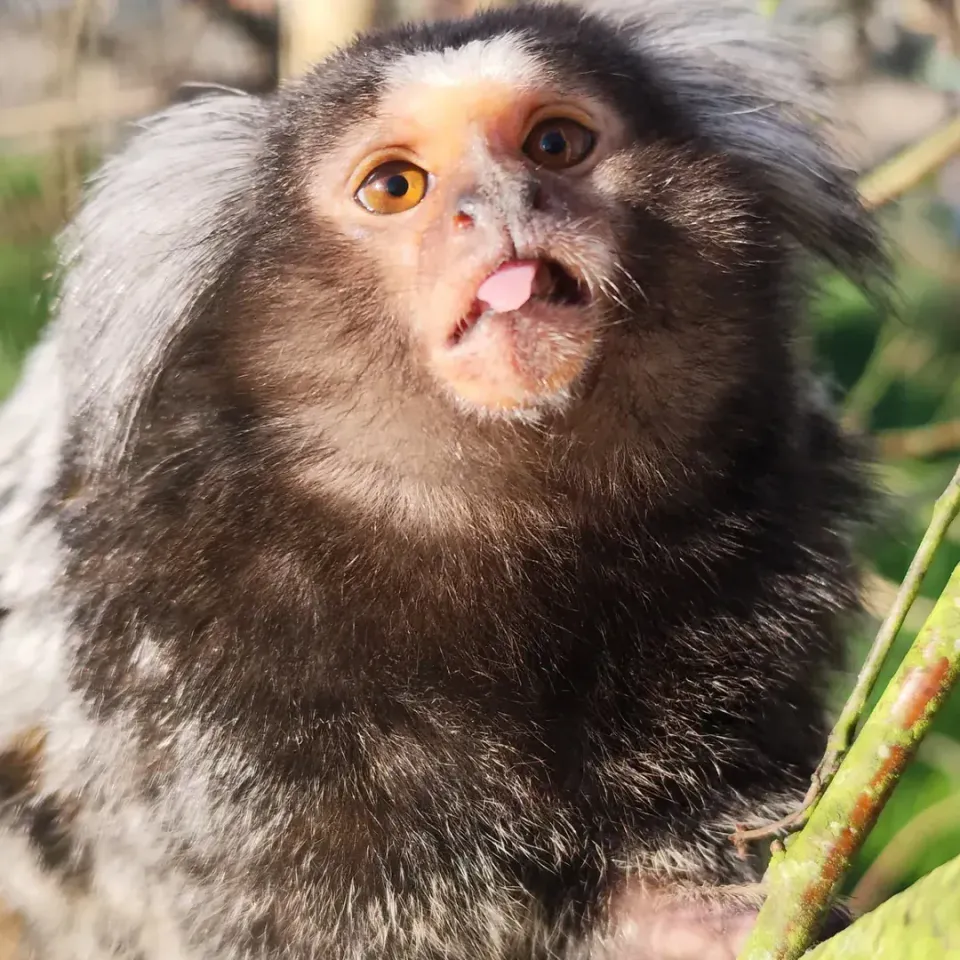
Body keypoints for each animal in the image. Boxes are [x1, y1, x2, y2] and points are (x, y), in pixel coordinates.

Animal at [0, 1, 888, 958]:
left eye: (555, 144)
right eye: (395, 187)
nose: (499, 204)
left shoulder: (761, 548)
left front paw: (691, 916)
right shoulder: (182, 674)